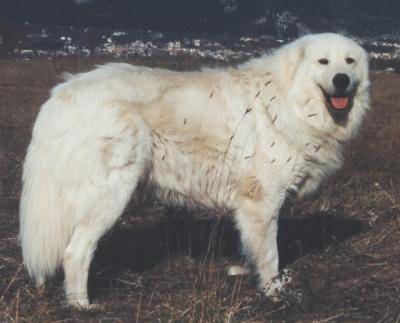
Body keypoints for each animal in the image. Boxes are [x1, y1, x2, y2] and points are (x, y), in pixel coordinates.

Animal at [18, 33, 368, 308]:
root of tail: (60, 95)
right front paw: (274, 293)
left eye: (349, 61)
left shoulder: (249, 207)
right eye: (323, 61)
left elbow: (251, 246)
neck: (288, 99)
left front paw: (244, 273)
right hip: (111, 193)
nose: (341, 79)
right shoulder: (263, 201)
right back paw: (82, 305)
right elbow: (270, 253)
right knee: (75, 251)